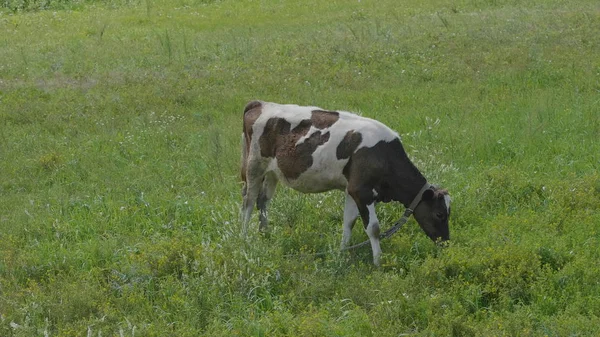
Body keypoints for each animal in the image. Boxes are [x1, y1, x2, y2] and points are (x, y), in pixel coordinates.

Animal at [239, 100, 450, 266]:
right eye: (439, 214)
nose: (446, 243)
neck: (384, 155)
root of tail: (261, 103)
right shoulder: (361, 191)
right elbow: (373, 228)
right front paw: (378, 262)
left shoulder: (351, 190)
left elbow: (348, 222)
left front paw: (342, 254)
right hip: (254, 165)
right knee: (248, 202)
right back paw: (244, 238)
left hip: (272, 172)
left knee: (263, 200)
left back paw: (264, 233)